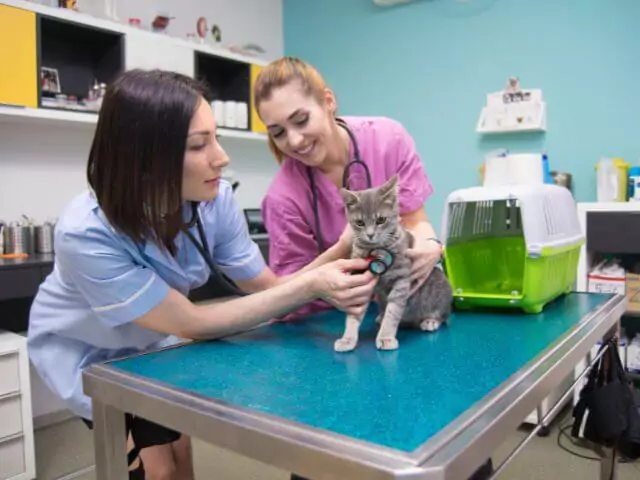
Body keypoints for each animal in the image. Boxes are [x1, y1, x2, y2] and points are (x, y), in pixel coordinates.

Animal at [338, 173, 452, 352]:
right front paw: (347, 338)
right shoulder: (360, 281)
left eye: (381, 220)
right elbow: (353, 313)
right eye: (360, 223)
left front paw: (386, 337)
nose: (370, 235)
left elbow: (393, 312)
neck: (376, 250)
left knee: (444, 315)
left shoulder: (402, 281)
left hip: (441, 290)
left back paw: (431, 320)